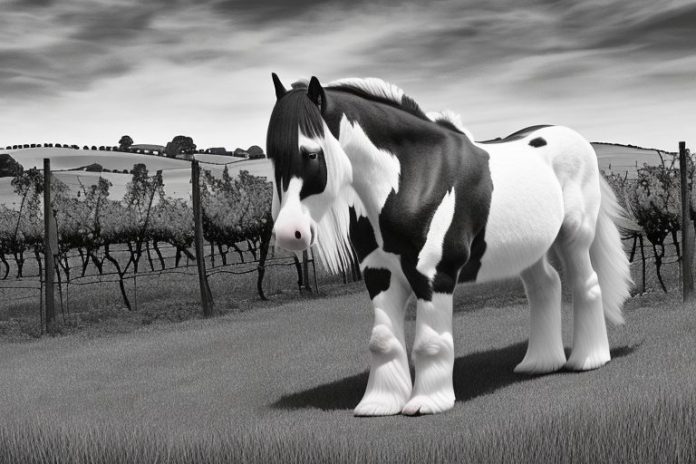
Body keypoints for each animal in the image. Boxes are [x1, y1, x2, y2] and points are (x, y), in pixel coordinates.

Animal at [266, 74, 632, 416]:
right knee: (546, 287)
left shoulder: (433, 275)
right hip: (528, 248)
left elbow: (429, 343)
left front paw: (427, 403)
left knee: (586, 285)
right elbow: (381, 341)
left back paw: (588, 360)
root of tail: (575, 138)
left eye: (311, 153)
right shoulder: (378, 273)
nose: (288, 233)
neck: (414, 177)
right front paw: (379, 404)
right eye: (272, 157)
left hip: (574, 236)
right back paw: (539, 364)